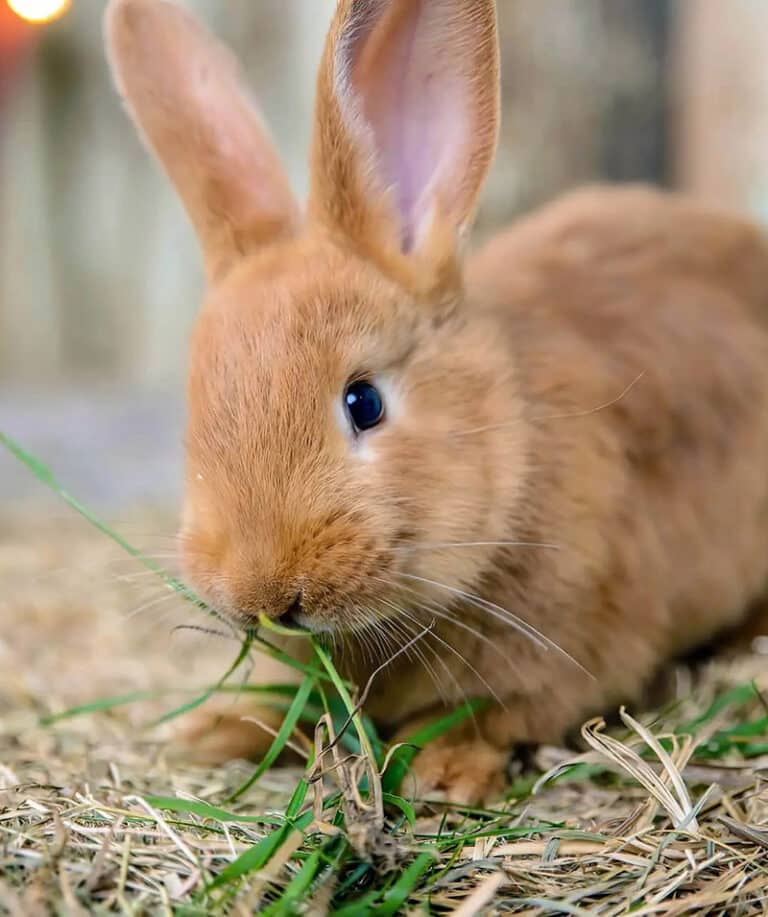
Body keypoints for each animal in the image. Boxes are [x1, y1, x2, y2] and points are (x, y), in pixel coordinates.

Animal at [105, 0, 768, 805]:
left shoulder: (574, 648)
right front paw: (210, 731)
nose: (265, 592)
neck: (512, 443)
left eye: (363, 402)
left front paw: (443, 773)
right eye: (196, 416)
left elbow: (497, 714)